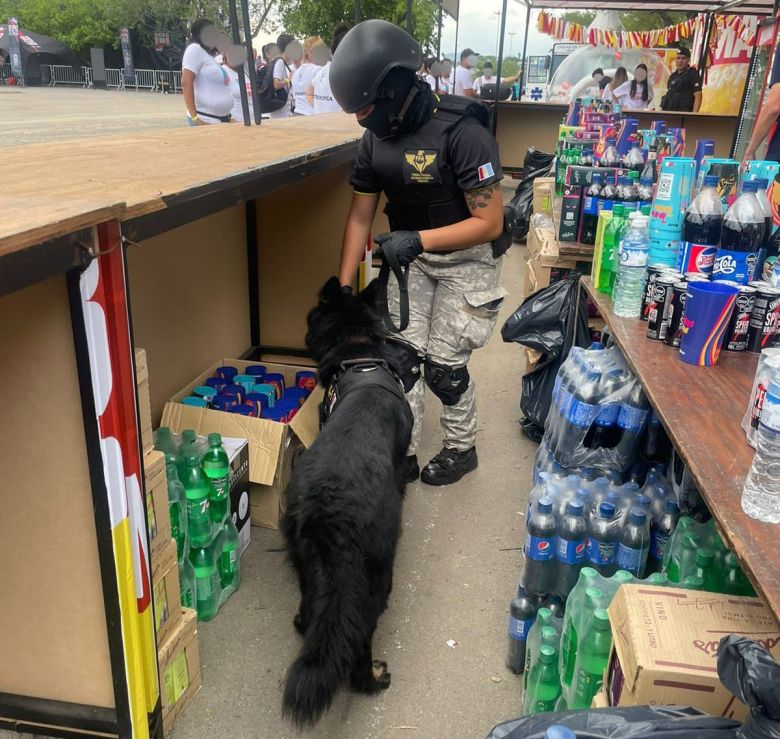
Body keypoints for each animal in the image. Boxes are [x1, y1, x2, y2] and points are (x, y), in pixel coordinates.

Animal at [282, 278, 414, 728]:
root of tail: (329, 509)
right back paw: (372, 678)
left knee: (312, 615)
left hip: (308, 565)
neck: (360, 353)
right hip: (371, 580)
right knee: (358, 638)